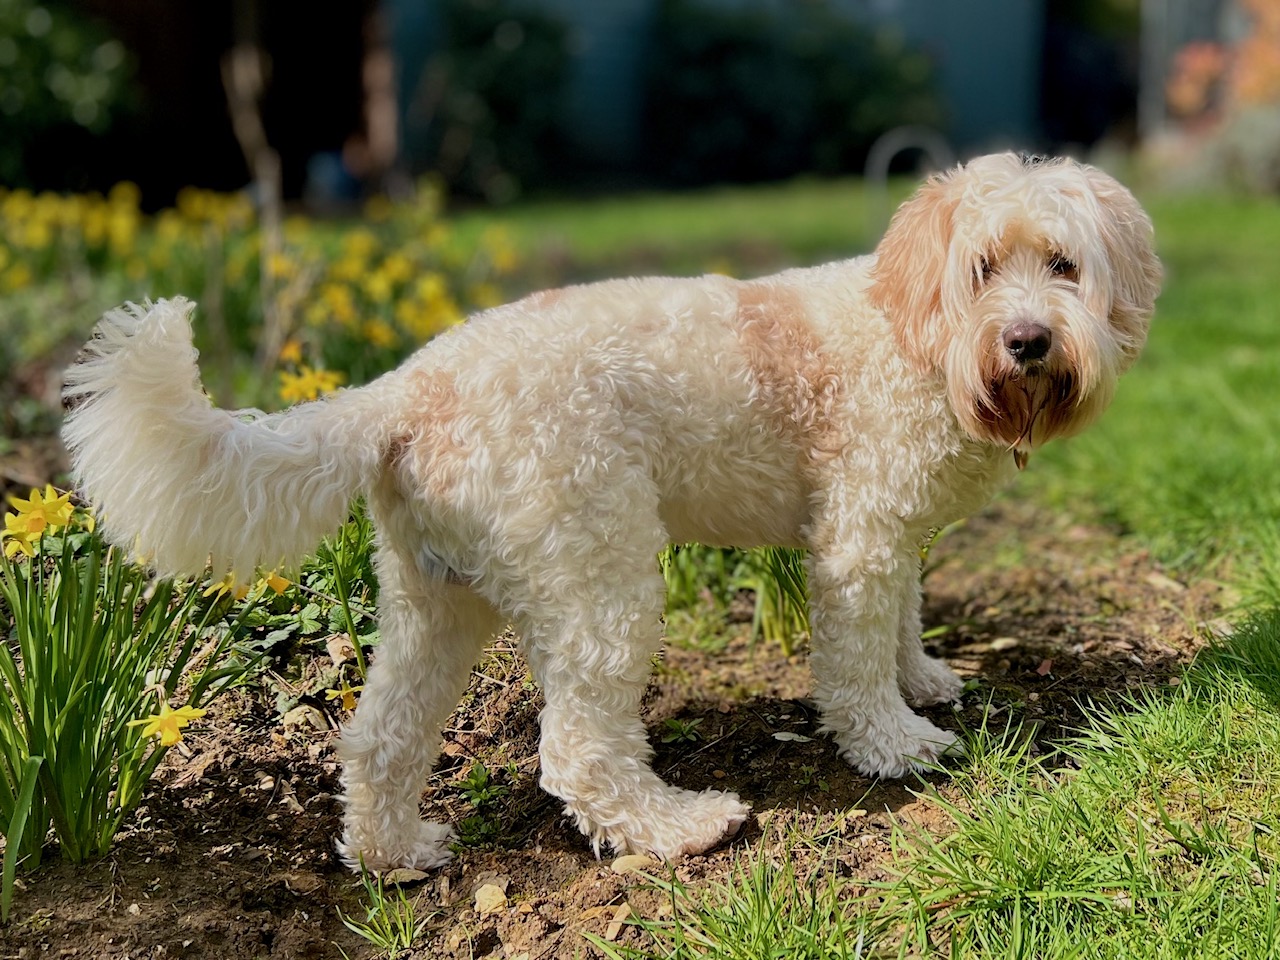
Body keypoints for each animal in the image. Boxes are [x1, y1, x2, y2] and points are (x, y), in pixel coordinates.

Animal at [60, 152, 1162, 870]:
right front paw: (895, 744)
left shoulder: (891, 537)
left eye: (1064, 265)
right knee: (577, 751)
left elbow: (901, 622)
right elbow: (854, 664)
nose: (1027, 341)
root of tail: (409, 388)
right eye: (982, 269)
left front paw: (923, 679)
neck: (912, 331)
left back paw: (393, 854)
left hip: (433, 602)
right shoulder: (856, 539)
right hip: (604, 582)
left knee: (378, 742)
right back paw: (679, 828)